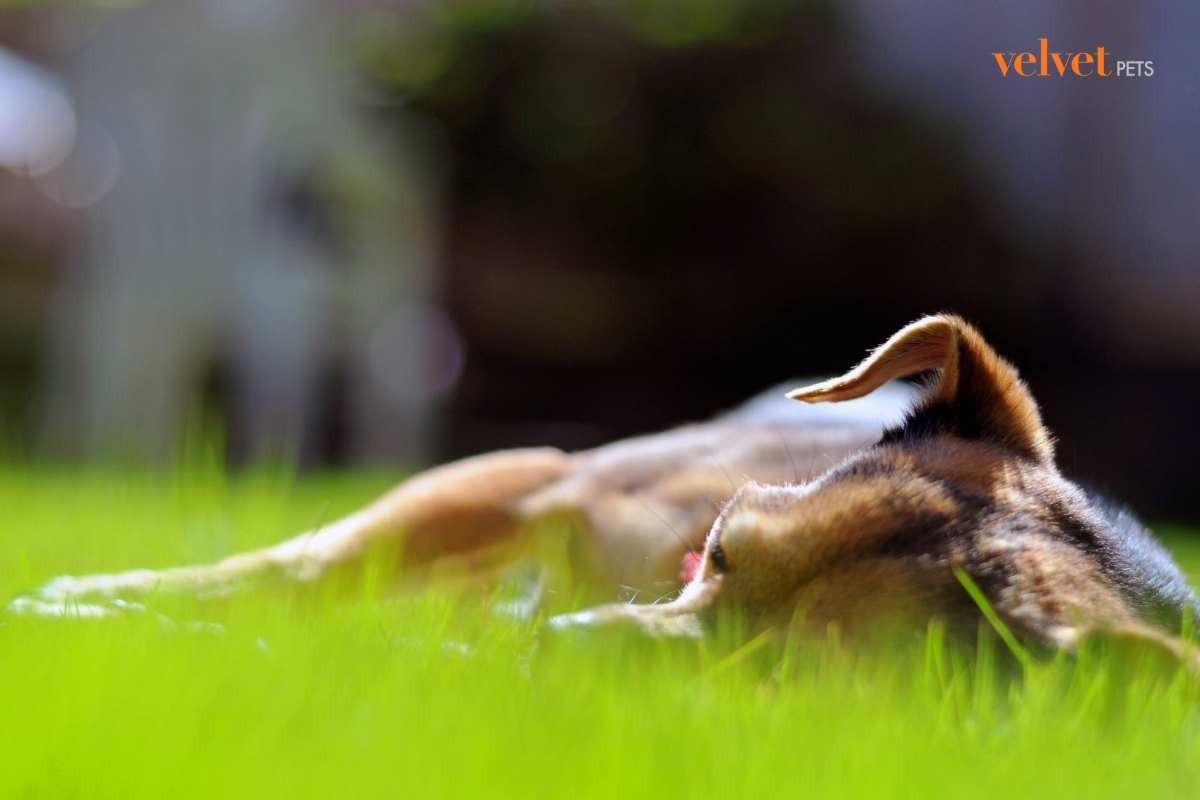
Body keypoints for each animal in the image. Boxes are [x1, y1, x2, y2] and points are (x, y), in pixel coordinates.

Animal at [9, 316, 1200, 662]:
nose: (555, 650)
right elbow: (293, 567)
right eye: (719, 548)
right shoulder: (544, 481)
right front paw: (95, 604)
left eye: (796, 677)